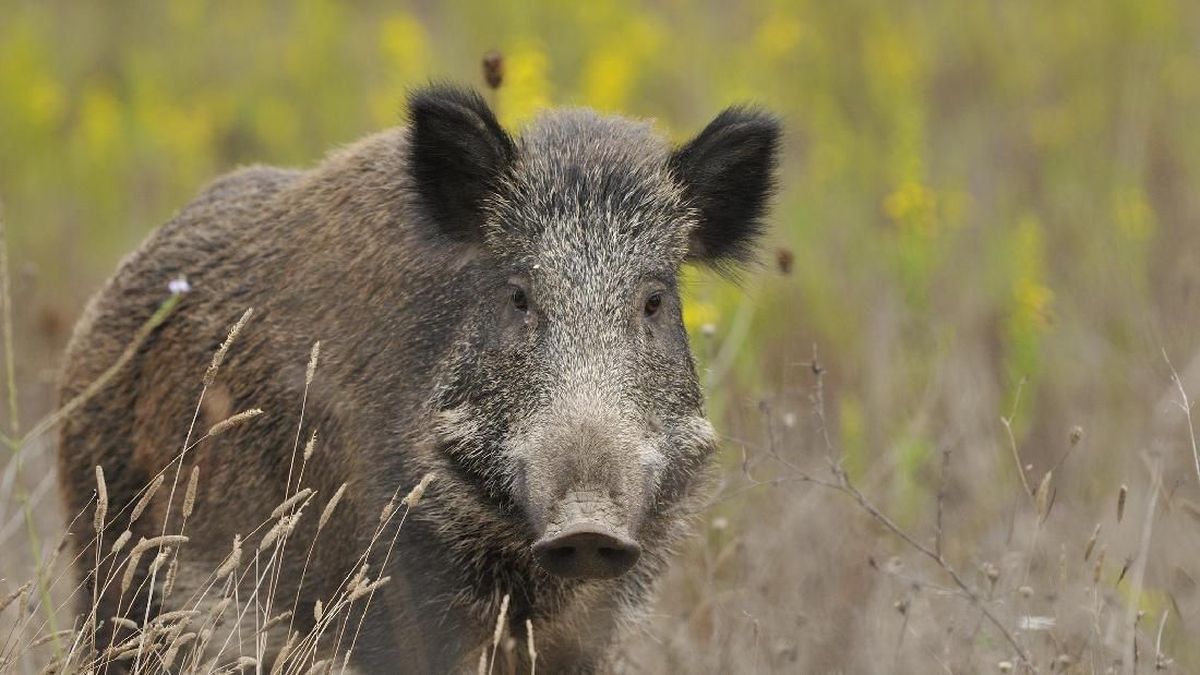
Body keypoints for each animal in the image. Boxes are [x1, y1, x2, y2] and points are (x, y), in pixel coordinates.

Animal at [57, 84, 779, 673]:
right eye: (518, 294)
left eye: (654, 301)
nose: (588, 528)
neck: (515, 564)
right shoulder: (388, 587)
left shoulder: (600, 615)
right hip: (112, 556)